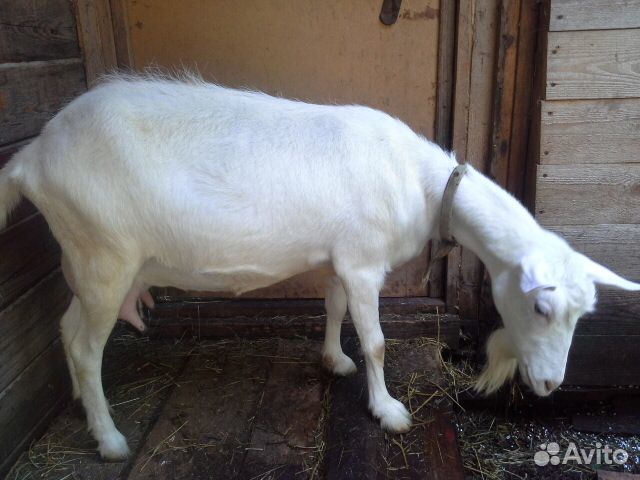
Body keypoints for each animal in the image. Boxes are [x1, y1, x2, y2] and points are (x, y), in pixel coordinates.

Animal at [1, 75, 638, 459]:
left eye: (581, 314)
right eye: (540, 305)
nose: (551, 385)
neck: (423, 183)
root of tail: (31, 158)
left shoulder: (342, 257)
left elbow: (332, 307)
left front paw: (333, 360)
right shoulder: (364, 264)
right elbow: (377, 341)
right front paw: (389, 411)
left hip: (88, 259)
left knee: (67, 329)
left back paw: (85, 405)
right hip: (104, 257)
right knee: (85, 346)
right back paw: (109, 439)